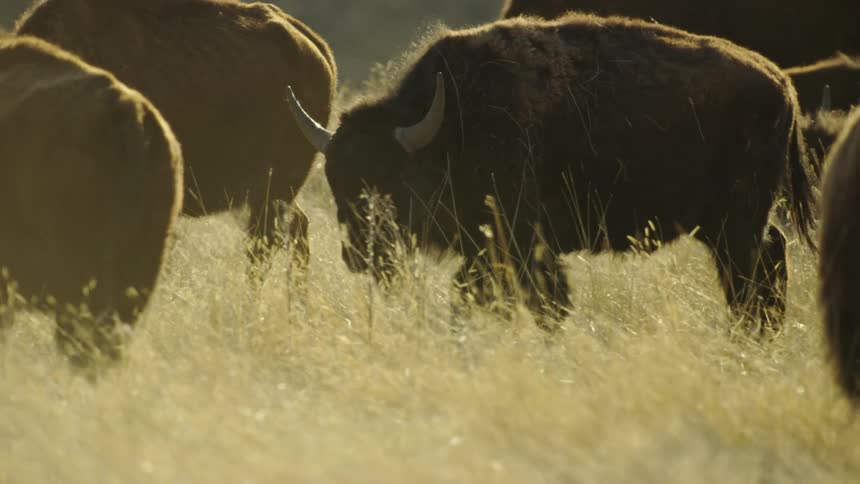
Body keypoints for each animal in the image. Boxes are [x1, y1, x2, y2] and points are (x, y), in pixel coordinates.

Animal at [286, 14, 817, 332]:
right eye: (335, 183)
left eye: (392, 185)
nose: (360, 255)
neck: (452, 125)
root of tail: (782, 84)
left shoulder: (519, 244)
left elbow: (532, 301)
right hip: (725, 227)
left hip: (735, 226)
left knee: (755, 276)